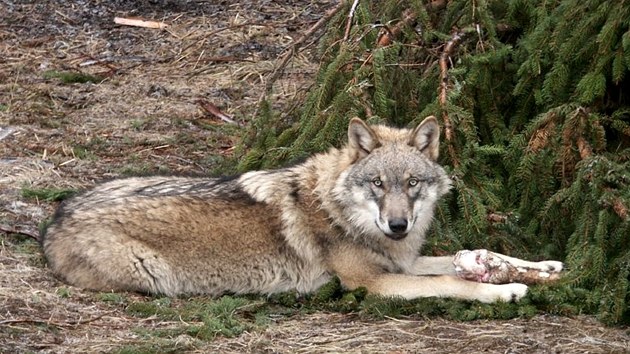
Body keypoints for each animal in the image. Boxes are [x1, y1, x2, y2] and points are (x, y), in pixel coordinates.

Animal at [42, 116, 564, 302]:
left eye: (412, 184)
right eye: (378, 184)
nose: (397, 225)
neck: (341, 210)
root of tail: (54, 219)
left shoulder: (401, 261)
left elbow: (470, 256)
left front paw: (542, 266)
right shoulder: (374, 283)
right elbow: (455, 283)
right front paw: (506, 290)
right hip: (154, 276)